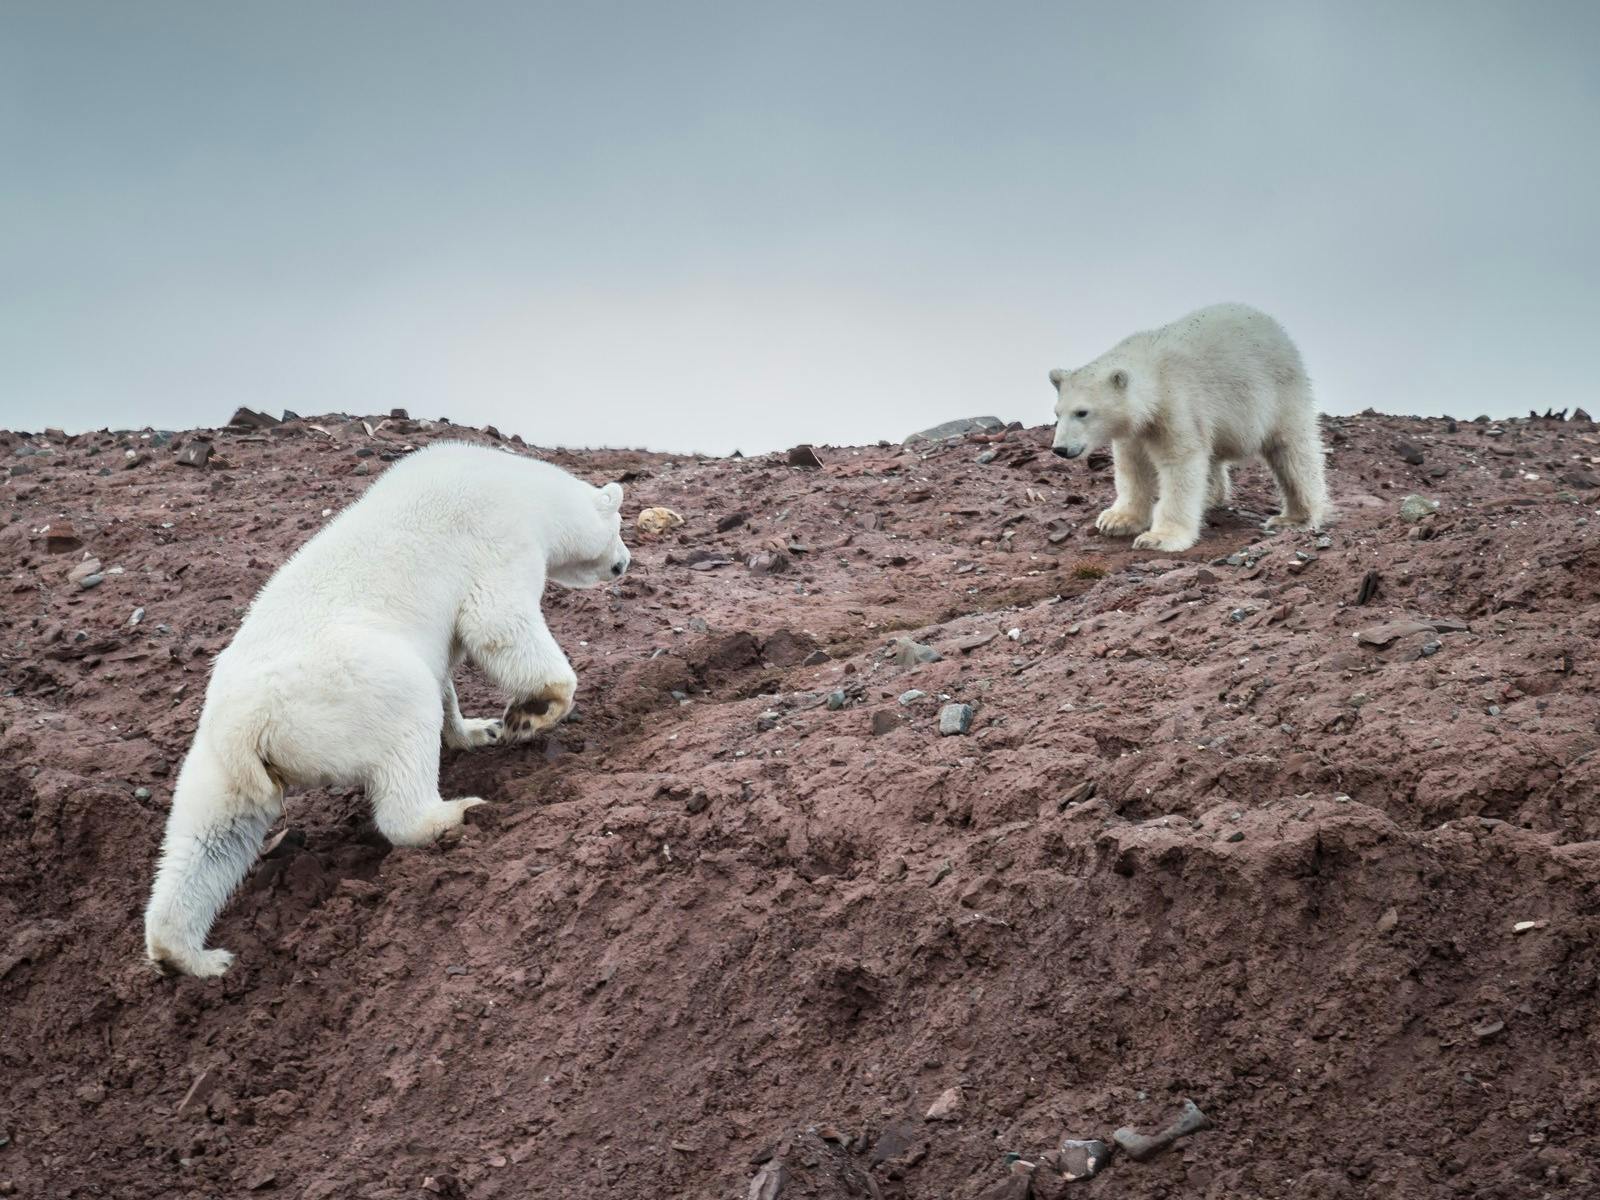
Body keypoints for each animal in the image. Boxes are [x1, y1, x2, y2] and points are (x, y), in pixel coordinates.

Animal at [142, 441, 630, 979]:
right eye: (620, 526)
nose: (624, 563)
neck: (523, 488)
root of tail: (252, 726)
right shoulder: (497, 537)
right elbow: (497, 622)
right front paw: (531, 711)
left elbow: (448, 669)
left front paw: (477, 729)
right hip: (356, 688)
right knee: (406, 736)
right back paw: (454, 812)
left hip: (219, 759)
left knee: (210, 835)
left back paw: (192, 955)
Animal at [1049, 307, 1324, 556]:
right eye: (1057, 413)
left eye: (1082, 412)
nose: (1060, 449)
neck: (1155, 376)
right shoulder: (1136, 430)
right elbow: (1133, 466)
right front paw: (1116, 520)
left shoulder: (1178, 405)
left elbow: (1180, 465)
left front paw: (1158, 538)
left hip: (1278, 393)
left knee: (1292, 452)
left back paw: (1294, 517)